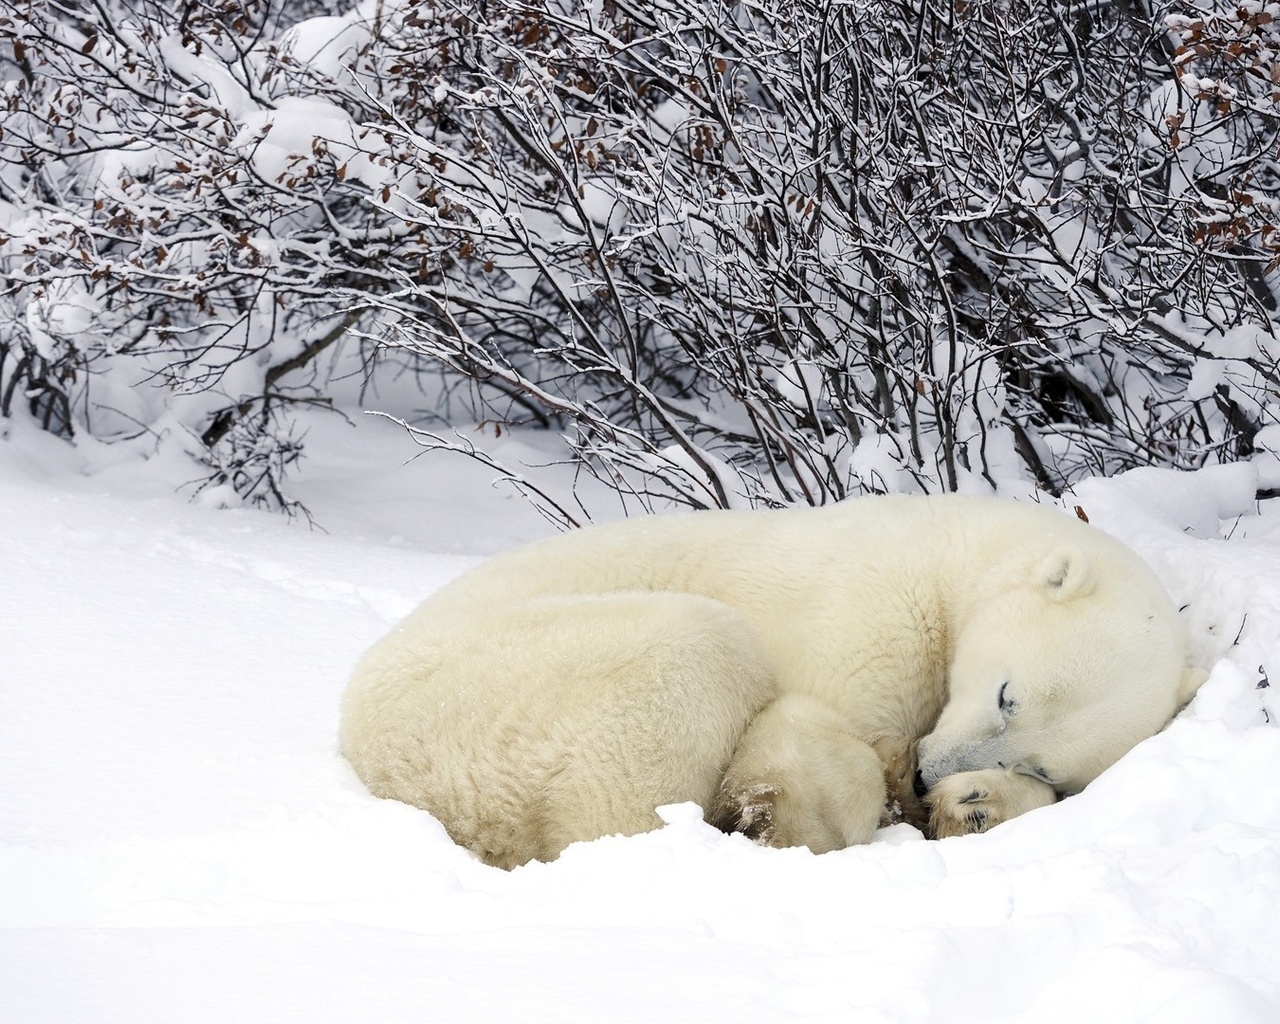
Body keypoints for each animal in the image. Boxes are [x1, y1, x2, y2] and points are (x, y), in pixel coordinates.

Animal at [340, 494, 1198, 865]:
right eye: (1006, 692)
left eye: (1043, 763)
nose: (929, 775)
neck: (951, 555)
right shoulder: (871, 612)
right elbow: (808, 732)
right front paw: (807, 814)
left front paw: (976, 805)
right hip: (495, 690)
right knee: (690, 659)